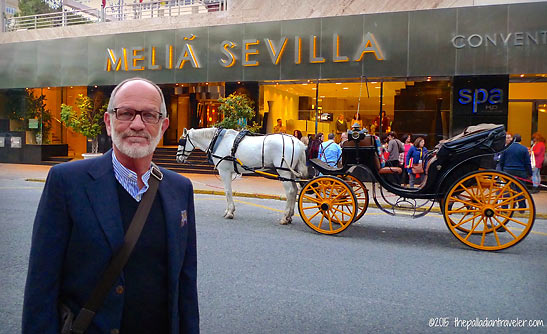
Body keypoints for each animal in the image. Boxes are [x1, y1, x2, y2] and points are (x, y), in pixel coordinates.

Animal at [179, 127, 310, 224]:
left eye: (181, 142)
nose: (178, 158)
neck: (217, 141)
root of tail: (298, 143)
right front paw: (229, 210)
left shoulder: (224, 171)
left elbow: (227, 191)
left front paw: (229, 212)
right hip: (290, 172)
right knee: (295, 190)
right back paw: (290, 216)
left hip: (283, 171)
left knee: (290, 192)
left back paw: (285, 217)